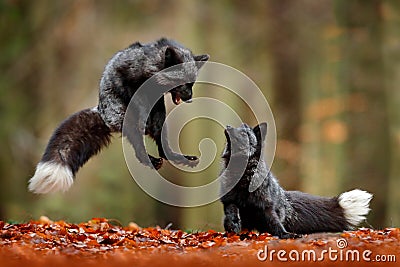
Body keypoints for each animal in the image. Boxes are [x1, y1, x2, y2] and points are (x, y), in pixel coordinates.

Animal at [28, 38, 209, 195]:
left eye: (192, 83)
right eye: (182, 83)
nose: (190, 98)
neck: (150, 64)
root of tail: (101, 111)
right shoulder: (127, 79)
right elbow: (133, 93)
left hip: (161, 121)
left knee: (163, 150)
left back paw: (179, 158)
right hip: (130, 123)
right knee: (139, 150)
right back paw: (150, 159)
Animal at [220, 123, 370, 239]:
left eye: (244, 132)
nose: (228, 126)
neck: (242, 177)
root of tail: (285, 198)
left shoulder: (266, 207)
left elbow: (275, 224)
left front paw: (286, 235)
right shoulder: (229, 200)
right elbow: (232, 210)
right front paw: (233, 224)